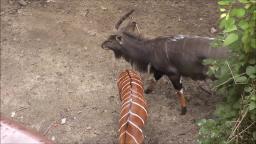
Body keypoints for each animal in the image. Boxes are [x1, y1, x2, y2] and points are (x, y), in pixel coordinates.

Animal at [102, 9, 230, 115]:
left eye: (111, 39)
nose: (102, 45)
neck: (151, 49)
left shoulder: (173, 73)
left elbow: (179, 91)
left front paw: (183, 111)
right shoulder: (160, 70)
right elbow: (154, 80)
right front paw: (147, 91)